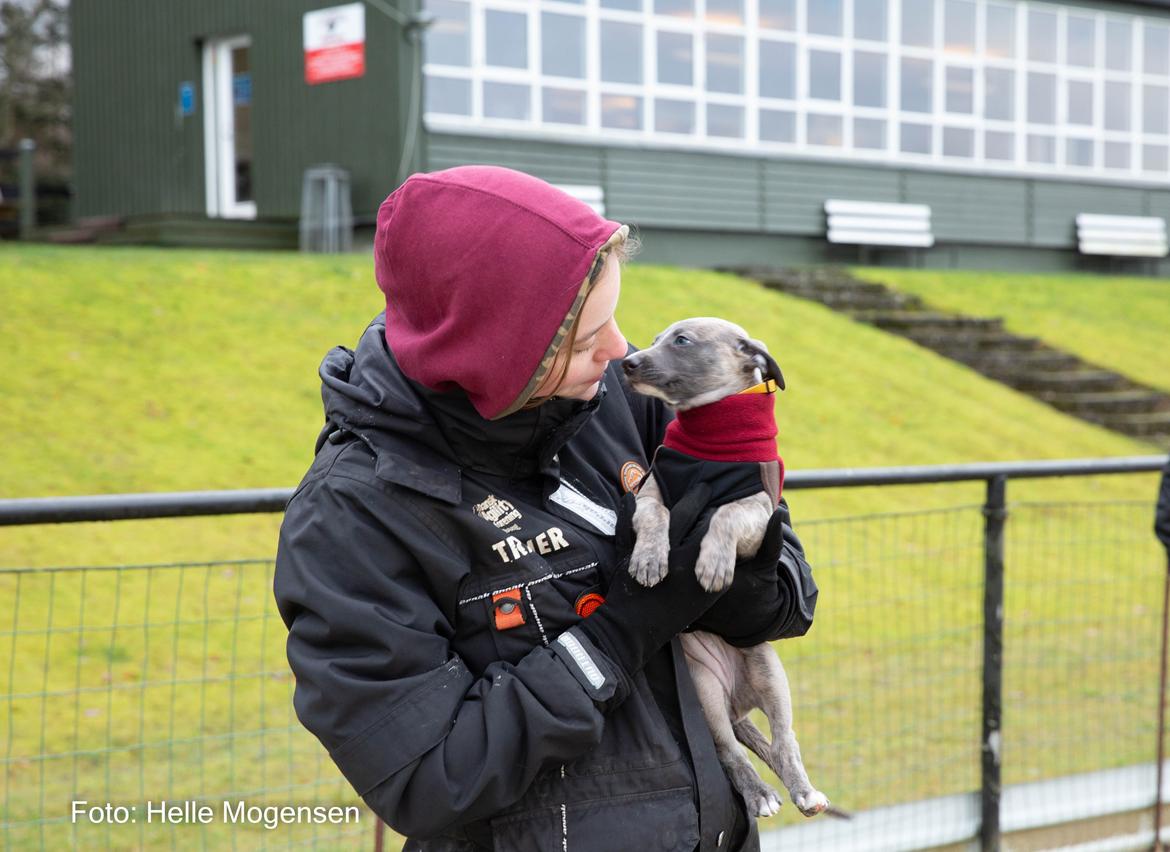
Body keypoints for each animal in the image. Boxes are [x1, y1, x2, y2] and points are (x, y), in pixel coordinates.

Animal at [627, 318, 828, 819]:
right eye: (655, 340)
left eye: (681, 341)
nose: (627, 363)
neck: (711, 442)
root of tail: (737, 703)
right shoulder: (651, 489)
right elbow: (656, 515)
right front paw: (650, 558)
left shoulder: (761, 510)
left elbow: (725, 513)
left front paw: (714, 563)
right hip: (706, 691)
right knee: (730, 750)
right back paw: (759, 794)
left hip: (770, 674)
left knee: (784, 741)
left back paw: (804, 792)